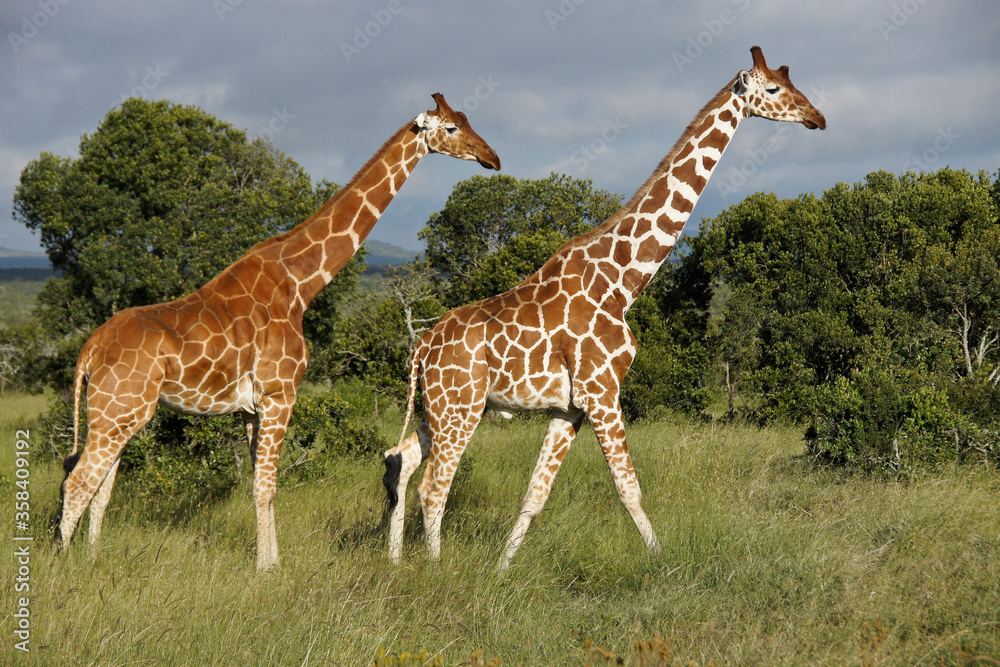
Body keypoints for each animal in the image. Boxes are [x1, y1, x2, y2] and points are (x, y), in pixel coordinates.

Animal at [59, 93, 500, 571]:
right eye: (452, 128)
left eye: (468, 120)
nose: (491, 157)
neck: (300, 283)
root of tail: (89, 350)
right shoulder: (280, 394)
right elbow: (267, 487)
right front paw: (268, 569)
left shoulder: (252, 408)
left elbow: (261, 487)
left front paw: (269, 563)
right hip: (119, 410)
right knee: (77, 482)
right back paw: (64, 569)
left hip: (119, 413)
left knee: (98, 486)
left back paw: (92, 559)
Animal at [384, 47, 825, 568]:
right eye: (774, 89)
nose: (817, 117)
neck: (623, 281)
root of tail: (420, 349)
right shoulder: (602, 391)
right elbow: (629, 489)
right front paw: (663, 564)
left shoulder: (569, 407)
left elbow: (535, 495)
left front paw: (501, 569)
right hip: (460, 406)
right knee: (434, 486)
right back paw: (434, 568)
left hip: (437, 407)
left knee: (400, 462)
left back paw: (394, 561)